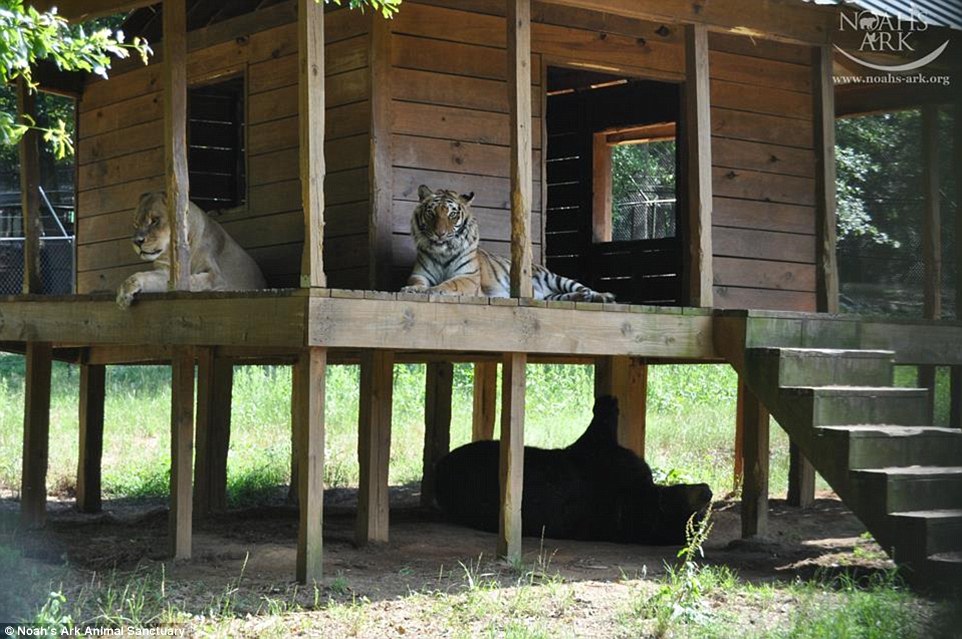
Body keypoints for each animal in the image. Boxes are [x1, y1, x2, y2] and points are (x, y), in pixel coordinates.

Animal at [116, 191, 266, 308]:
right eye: (135, 224)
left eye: (154, 220)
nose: (137, 241)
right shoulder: (164, 270)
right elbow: (145, 276)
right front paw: (124, 292)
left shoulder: (217, 276)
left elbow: (193, 281)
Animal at [400, 185, 616, 302]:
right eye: (431, 213)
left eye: (452, 215)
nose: (440, 233)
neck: (442, 251)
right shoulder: (419, 274)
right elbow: (417, 283)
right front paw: (413, 290)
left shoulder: (468, 277)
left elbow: (448, 284)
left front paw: (432, 290)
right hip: (550, 296)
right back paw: (581, 298)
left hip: (554, 278)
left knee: (581, 287)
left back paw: (602, 296)